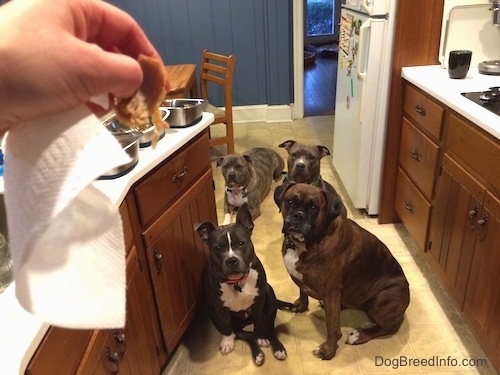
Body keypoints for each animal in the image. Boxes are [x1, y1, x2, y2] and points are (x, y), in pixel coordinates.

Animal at [196, 204, 288, 366]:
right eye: (217, 248)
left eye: (241, 243)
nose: (231, 260)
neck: (237, 282)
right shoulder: (219, 309)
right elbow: (226, 326)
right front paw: (227, 342)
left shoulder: (258, 302)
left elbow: (259, 322)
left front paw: (261, 337)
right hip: (216, 316)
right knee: (244, 334)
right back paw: (257, 354)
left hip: (269, 295)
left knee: (270, 328)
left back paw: (277, 348)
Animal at [274, 182, 410, 362]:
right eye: (289, 202)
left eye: (313, 207)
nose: (298, 215)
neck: (310, 242)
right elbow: (302, 292)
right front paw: (300, 306)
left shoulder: (331, 291)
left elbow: (332, 327)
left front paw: (328, 350)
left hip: (382, 298)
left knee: (388, 327)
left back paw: (360, 335)